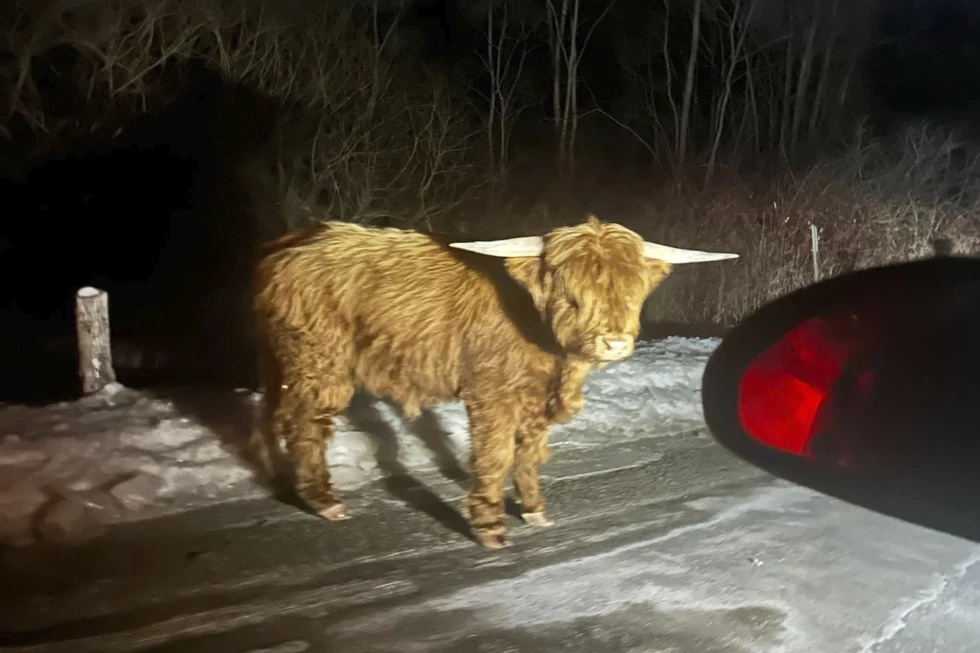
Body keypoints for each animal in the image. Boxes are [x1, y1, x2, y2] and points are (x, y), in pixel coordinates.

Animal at [247, 216, 736, 548]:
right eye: (572, 295)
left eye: (633, 292)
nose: (613, 342)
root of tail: (288, 244)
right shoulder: (493, 392)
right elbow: (496, 454)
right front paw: (489, 526)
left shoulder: (535, 396)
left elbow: (530, 454)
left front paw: (535, 510)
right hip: (319, 360)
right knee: (306, 425)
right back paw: (324, 501)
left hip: (282, 361)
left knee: (270, 415)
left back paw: (281, 481)